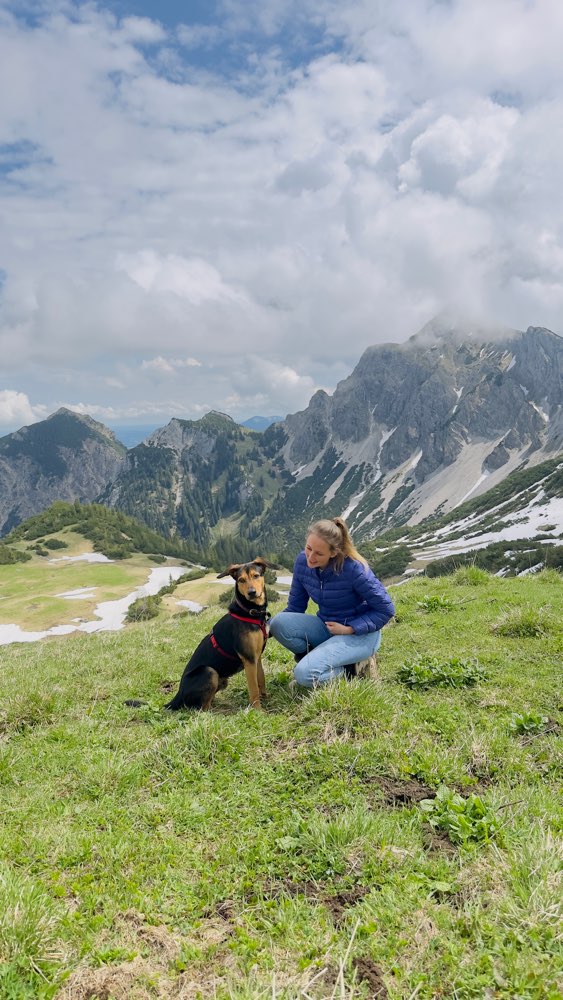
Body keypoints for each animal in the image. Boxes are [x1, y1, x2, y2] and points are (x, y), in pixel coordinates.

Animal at [163, 560, 270, 716]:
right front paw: (258, 710)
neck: (250, 612)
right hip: (209, 672)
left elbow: (261, 679)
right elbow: (254, 688)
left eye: (256, 575)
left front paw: (266, 698)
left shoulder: (257, 656)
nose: (251, 593)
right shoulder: (249, 659)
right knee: (202, 709)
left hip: (221, 680)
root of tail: (178, 694)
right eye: (241, 580)